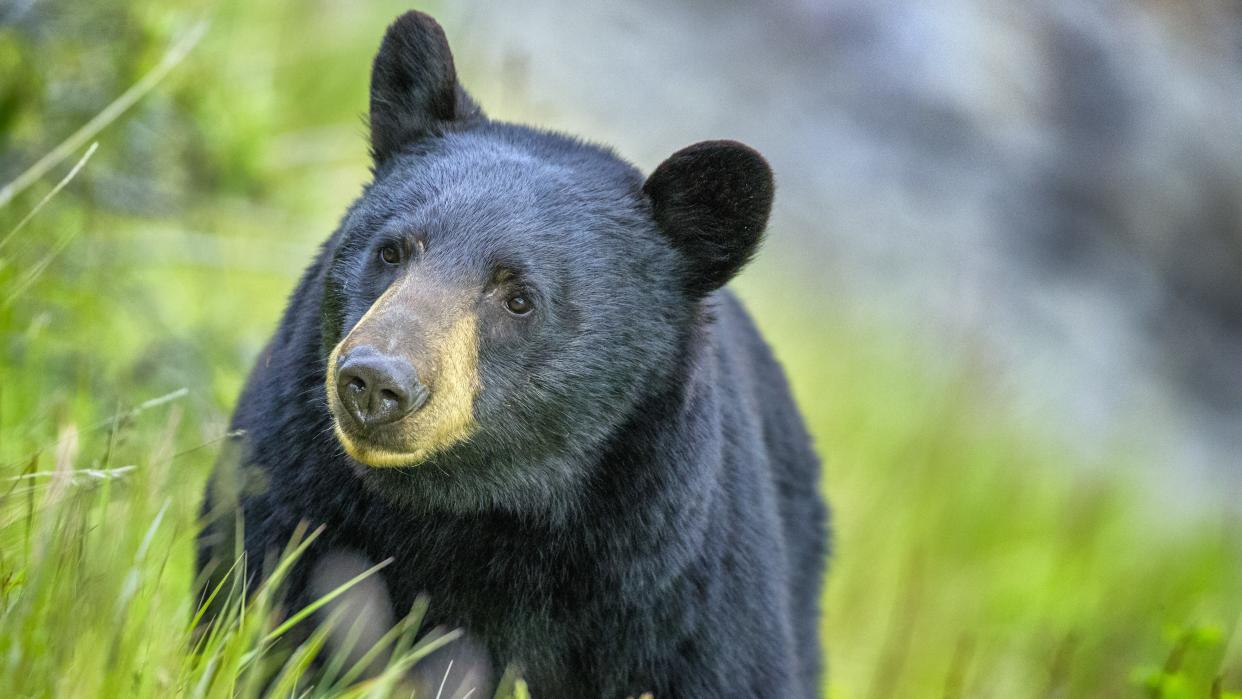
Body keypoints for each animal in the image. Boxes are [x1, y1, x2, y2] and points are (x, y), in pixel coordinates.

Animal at [201, 10, 824, 699]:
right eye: (391, 251)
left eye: (519, 297)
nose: (375, 383)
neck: (480, 510)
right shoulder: (289, 492)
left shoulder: (681, 599)